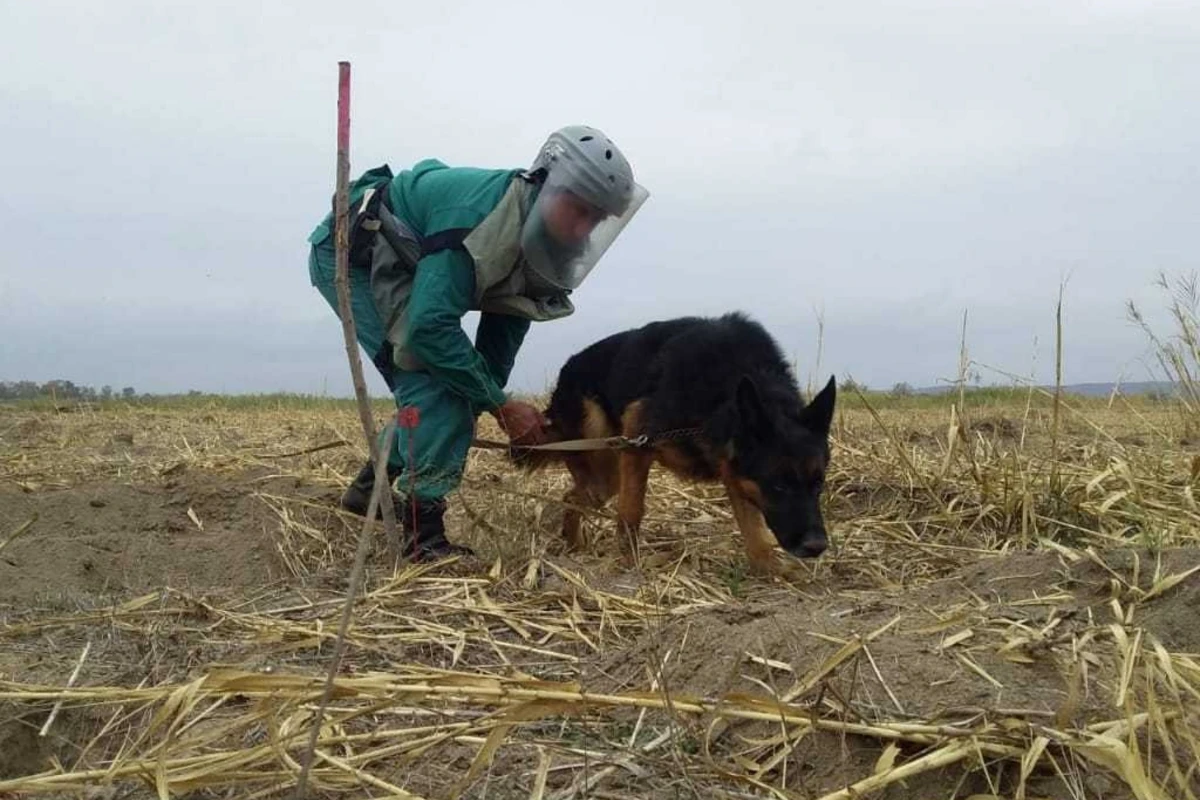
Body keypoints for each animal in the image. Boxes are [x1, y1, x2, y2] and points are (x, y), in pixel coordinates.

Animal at [511, 311, 840, 575]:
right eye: (778, 485)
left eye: (819, 483)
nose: (816, 546)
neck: (723, 392)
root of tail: (567, 370)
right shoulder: (638, 439)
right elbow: (631, 512)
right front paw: (628, 566)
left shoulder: (734, 470)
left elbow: (753, 529)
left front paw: (769, 569)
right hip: (605, 457)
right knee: (578, 495)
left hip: (608, 475)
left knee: (572, 497)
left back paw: (573, 547)